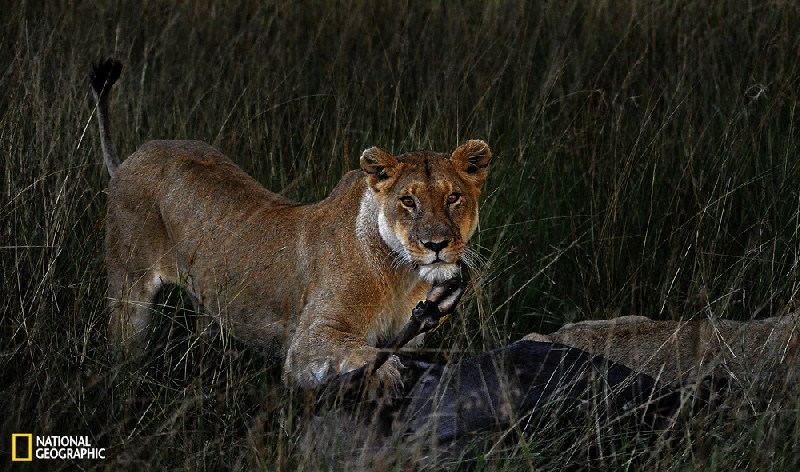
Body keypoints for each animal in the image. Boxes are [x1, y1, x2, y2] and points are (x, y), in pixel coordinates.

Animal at [90, 58, 494, 388]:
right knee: (124, 350)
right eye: (408, 201)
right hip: (129, 290)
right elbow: (354, 351)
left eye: (453, 198)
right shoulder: (308, 342)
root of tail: (135, 155)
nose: (436, 245)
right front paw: (386, 371)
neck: (403, 276)